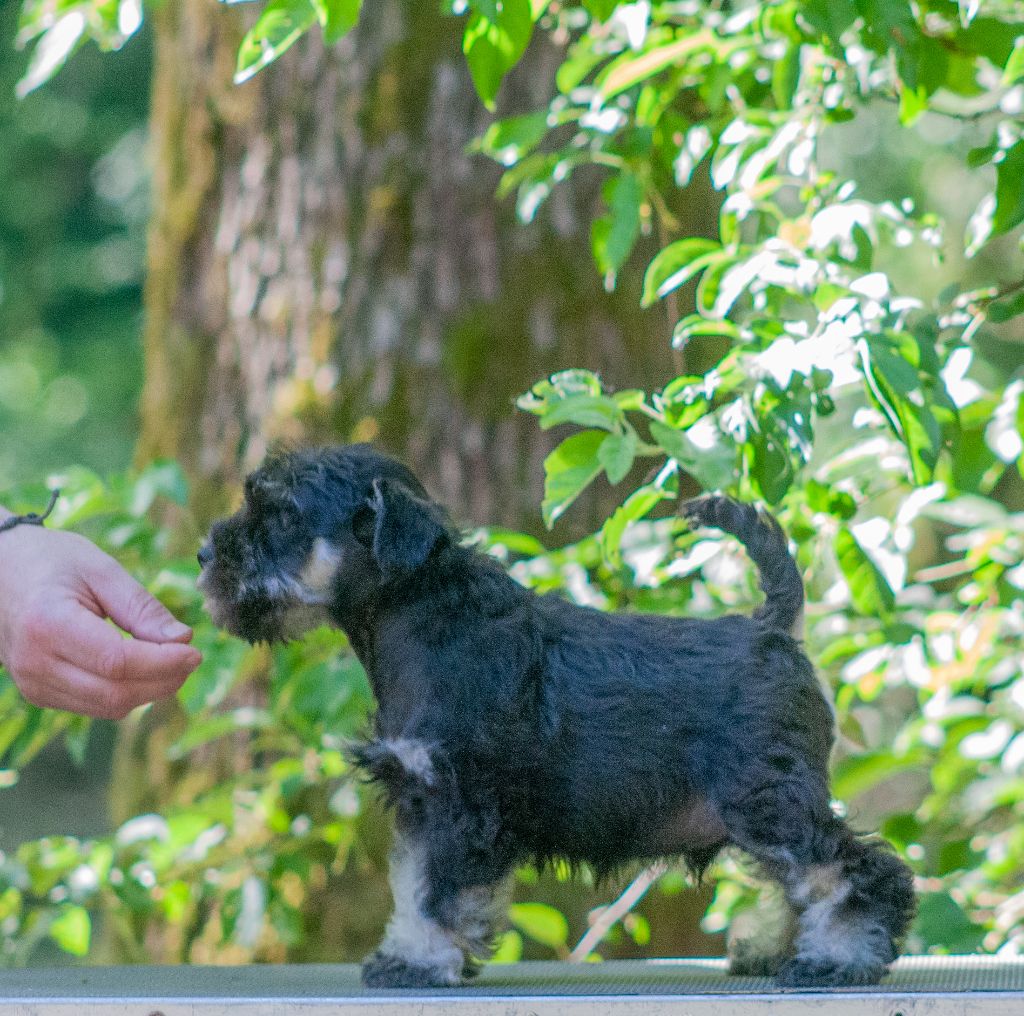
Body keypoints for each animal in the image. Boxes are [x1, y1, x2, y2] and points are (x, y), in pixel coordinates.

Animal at [197, 442, 913, 983]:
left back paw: (838, 959)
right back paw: (776, 952)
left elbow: (436, 893)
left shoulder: (457, 801)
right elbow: (413, 884)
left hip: (768, 798)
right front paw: (406, 954)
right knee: (802, 881)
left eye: (284, 514)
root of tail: (772, 628)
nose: (205, 556)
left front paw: (418, 963)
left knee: (852, 870)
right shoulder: (421, 800)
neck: (419, 616)